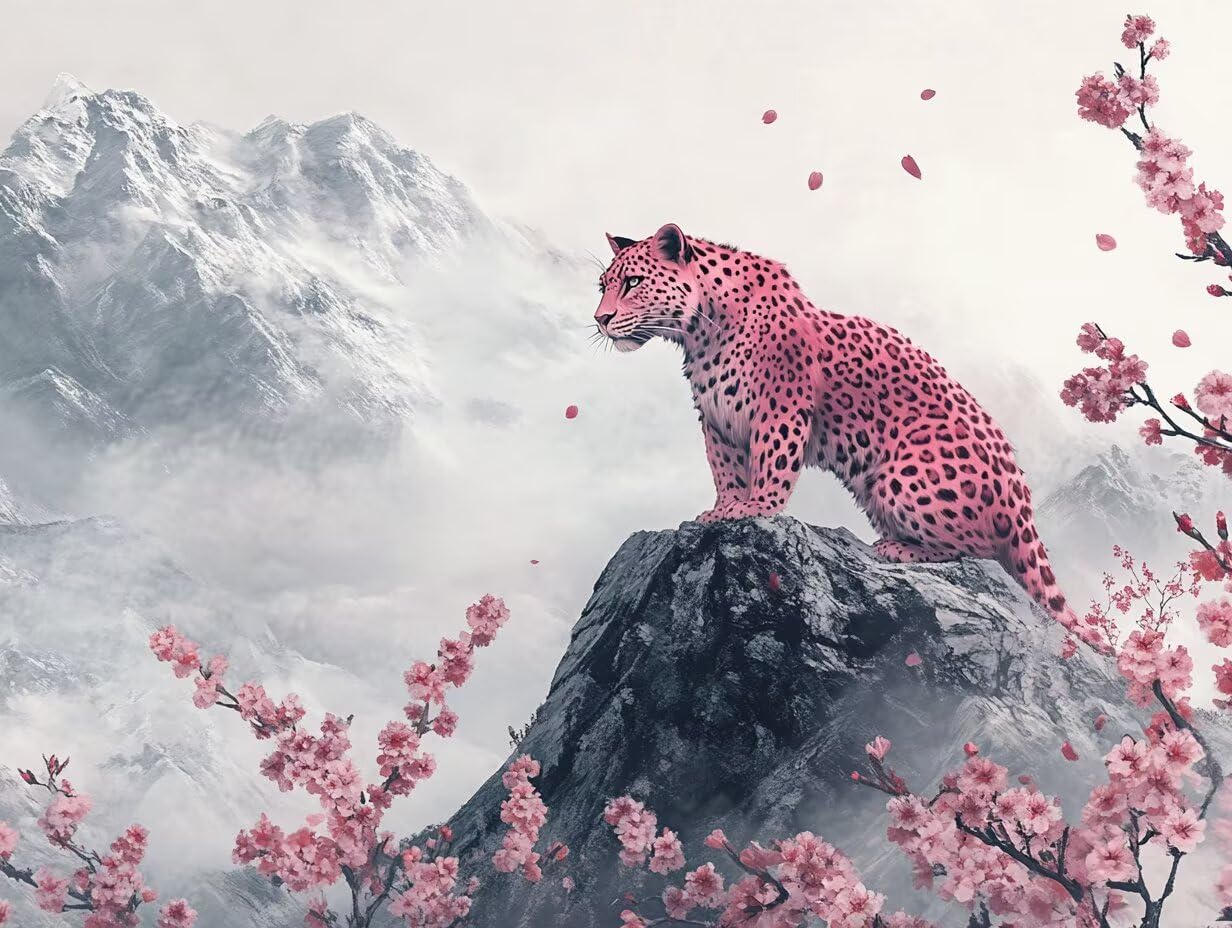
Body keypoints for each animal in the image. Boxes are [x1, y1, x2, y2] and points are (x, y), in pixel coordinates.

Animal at [594, 223, 1094, 643]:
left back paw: (896, 550)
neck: (701, 329)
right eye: (603, 286)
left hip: (901, 478)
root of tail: (1021, 502)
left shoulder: (780, 407)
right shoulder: (716, 420)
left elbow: (772, 464)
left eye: (633, 283)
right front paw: (723, 509)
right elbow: (726, 472)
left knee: (983, 551)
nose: (600, 319)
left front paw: (756, 508)